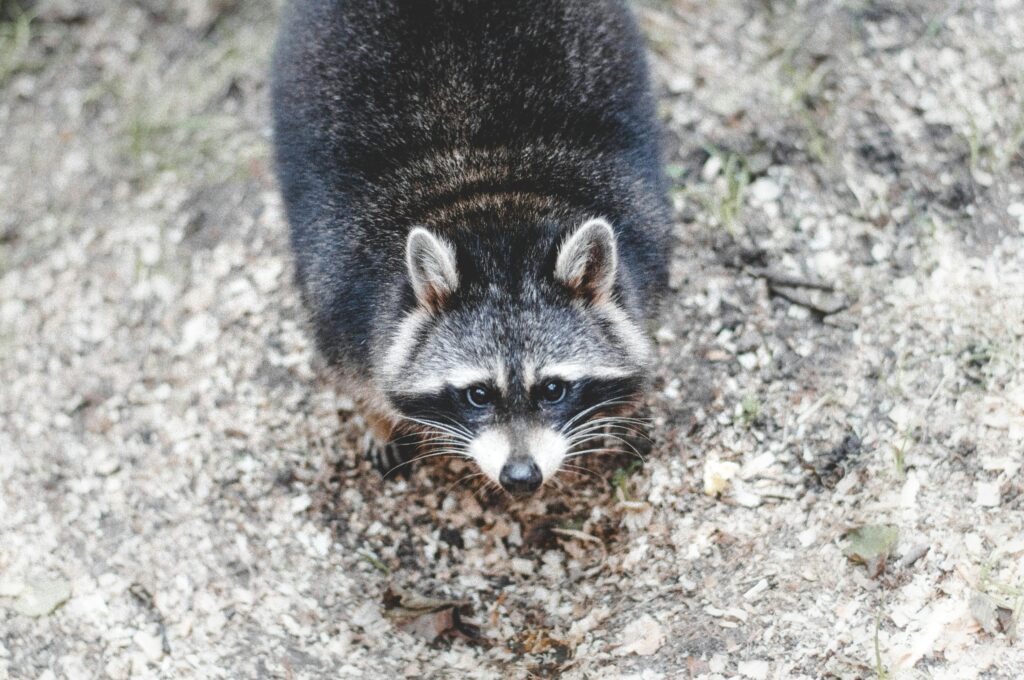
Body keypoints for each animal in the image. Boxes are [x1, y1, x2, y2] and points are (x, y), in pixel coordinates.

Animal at [271, 0, 671, 495]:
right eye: (478, 394)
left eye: (553, 389)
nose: (521, 477)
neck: (491, 199)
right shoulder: (339, 285)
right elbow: (354, 371)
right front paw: (377, 419)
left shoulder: (643, 236)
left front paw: (617, 412)